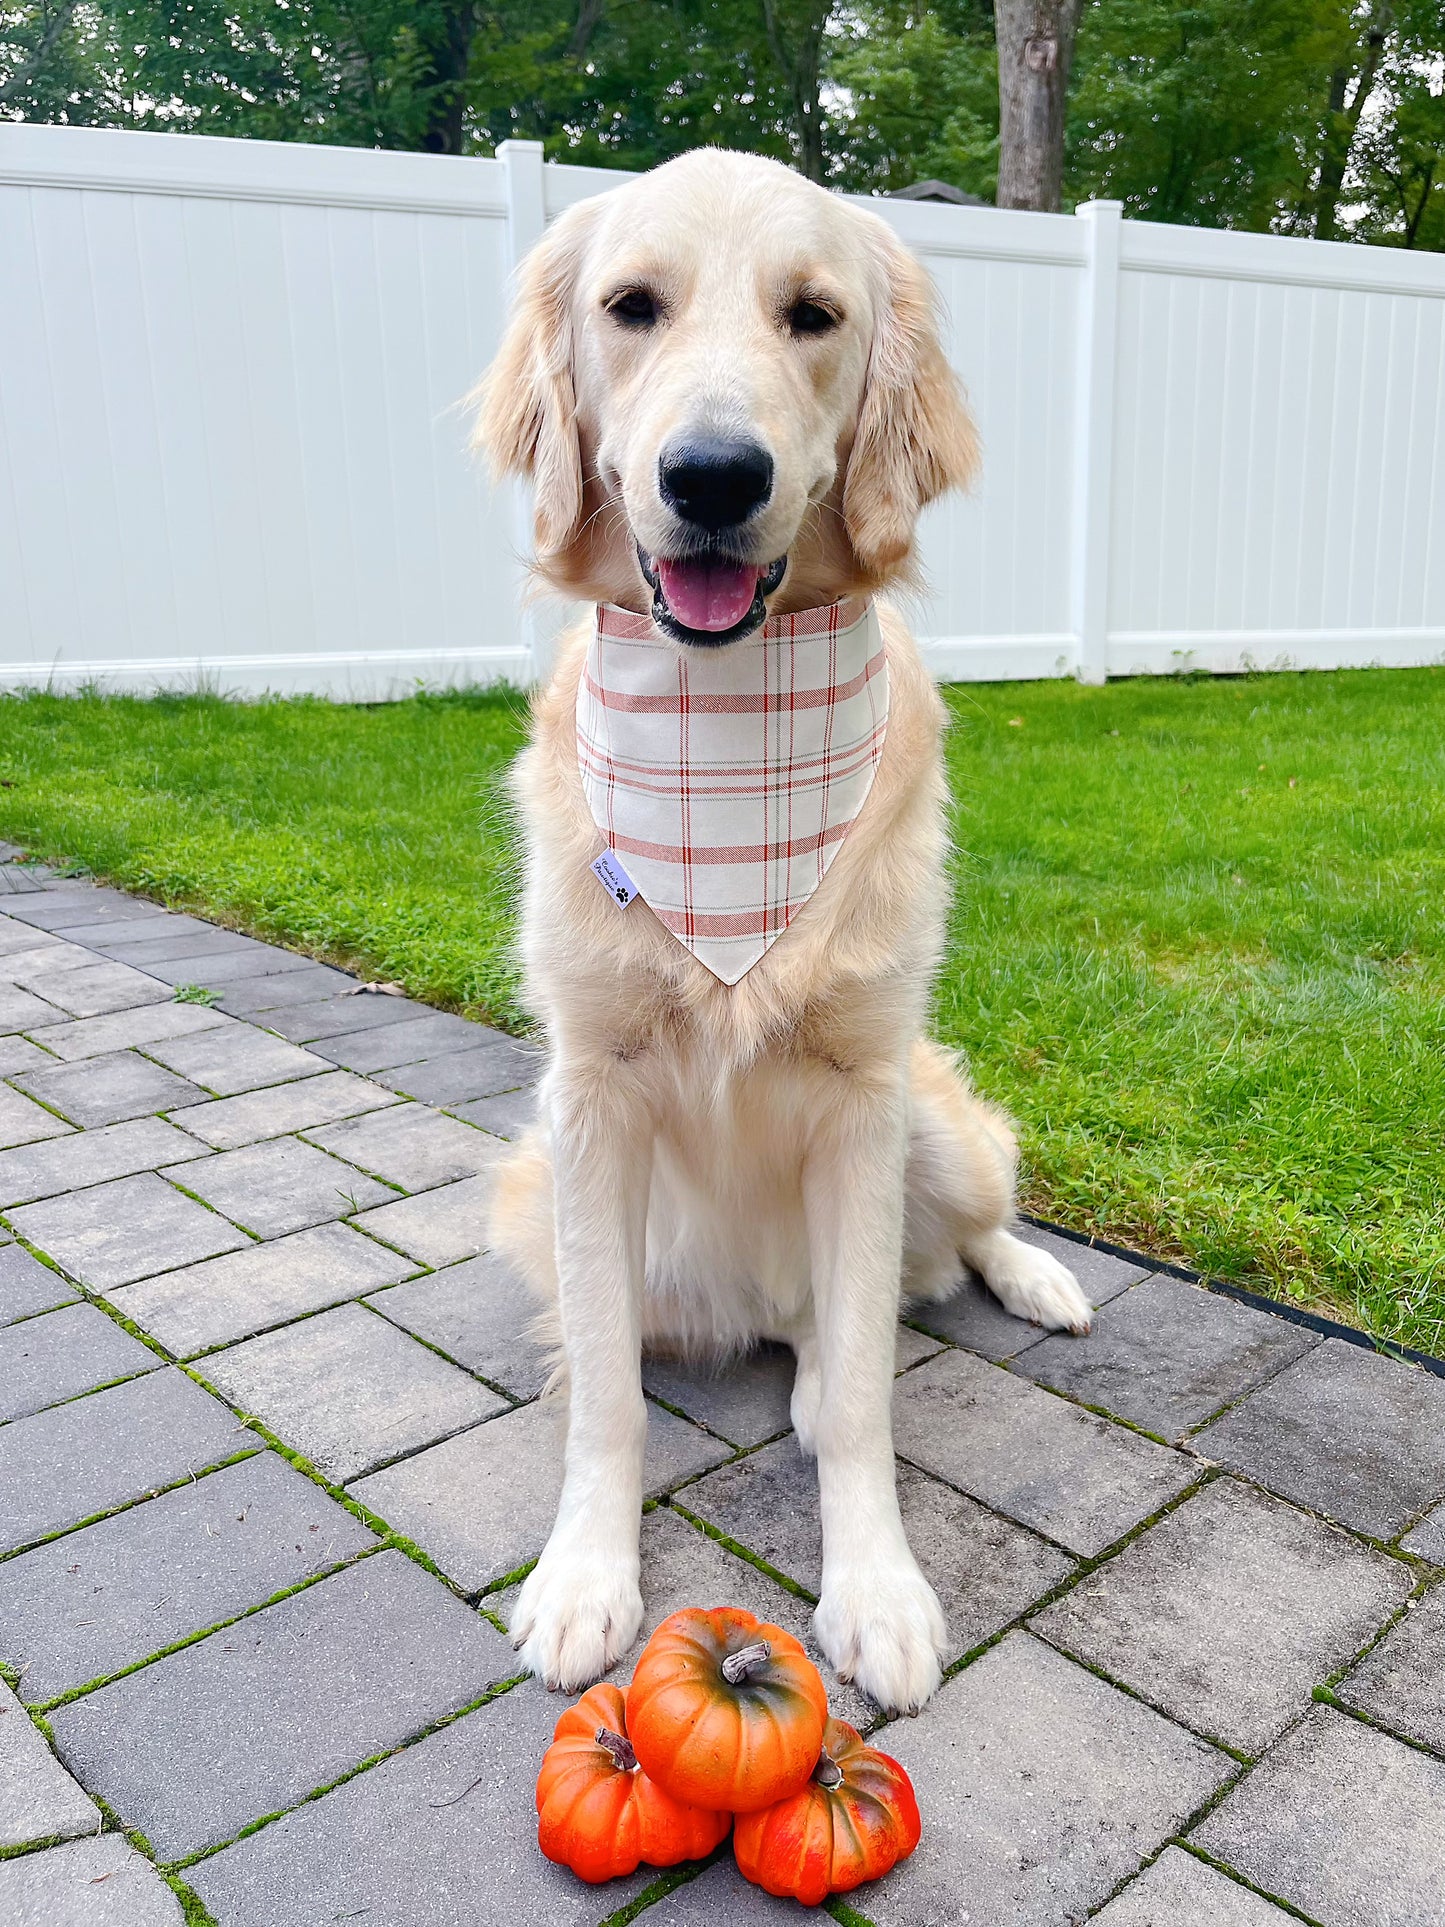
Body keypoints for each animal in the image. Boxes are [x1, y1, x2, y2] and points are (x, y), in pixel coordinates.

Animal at [481, 150, 1094, 1718]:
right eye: (632, 306)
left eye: (812, 315)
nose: (713, 477)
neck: (727, 729)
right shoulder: (587, 1101)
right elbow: (607, 1394)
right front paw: (585, 1572)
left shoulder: (861, 1095)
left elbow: (875, 1395)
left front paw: (874, 1589)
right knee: (807, 1324)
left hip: (931, 1123)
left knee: (938, 1258)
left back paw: (1036, 1280)